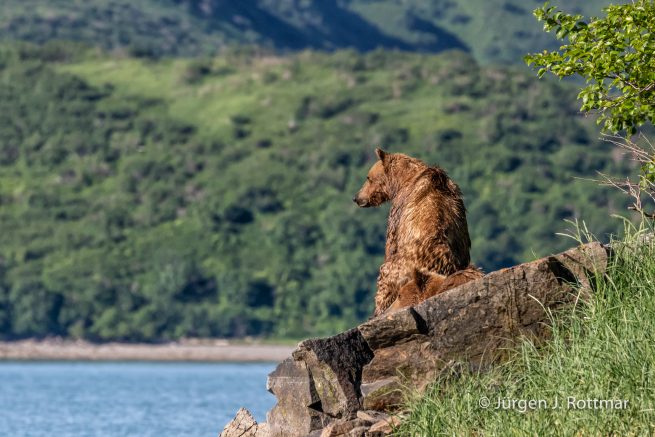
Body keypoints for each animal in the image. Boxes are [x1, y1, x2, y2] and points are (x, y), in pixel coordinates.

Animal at [353, 148, 481, 316]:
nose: (356, 198)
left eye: (368, 178)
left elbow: (390, 245)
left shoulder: (399, 210)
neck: (403, 180)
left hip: (403, 268)